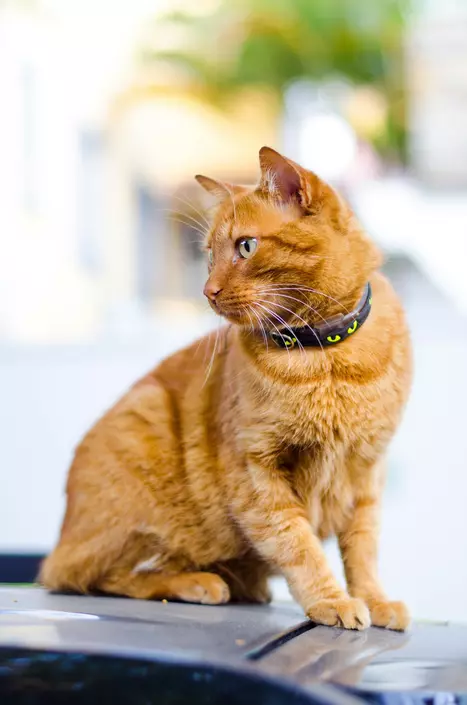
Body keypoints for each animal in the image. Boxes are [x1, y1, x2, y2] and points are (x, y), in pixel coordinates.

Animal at [41, 146, 414, 628]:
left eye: (245, 247)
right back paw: (200, 583)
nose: (208, 290)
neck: (324, 358)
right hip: (143, 433)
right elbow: (298, 544)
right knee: (96, 576)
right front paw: (331, 601)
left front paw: (374, 598)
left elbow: (363, 549)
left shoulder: (366, 472)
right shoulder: (256, 472)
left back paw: (243, 585)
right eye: (208, 255)